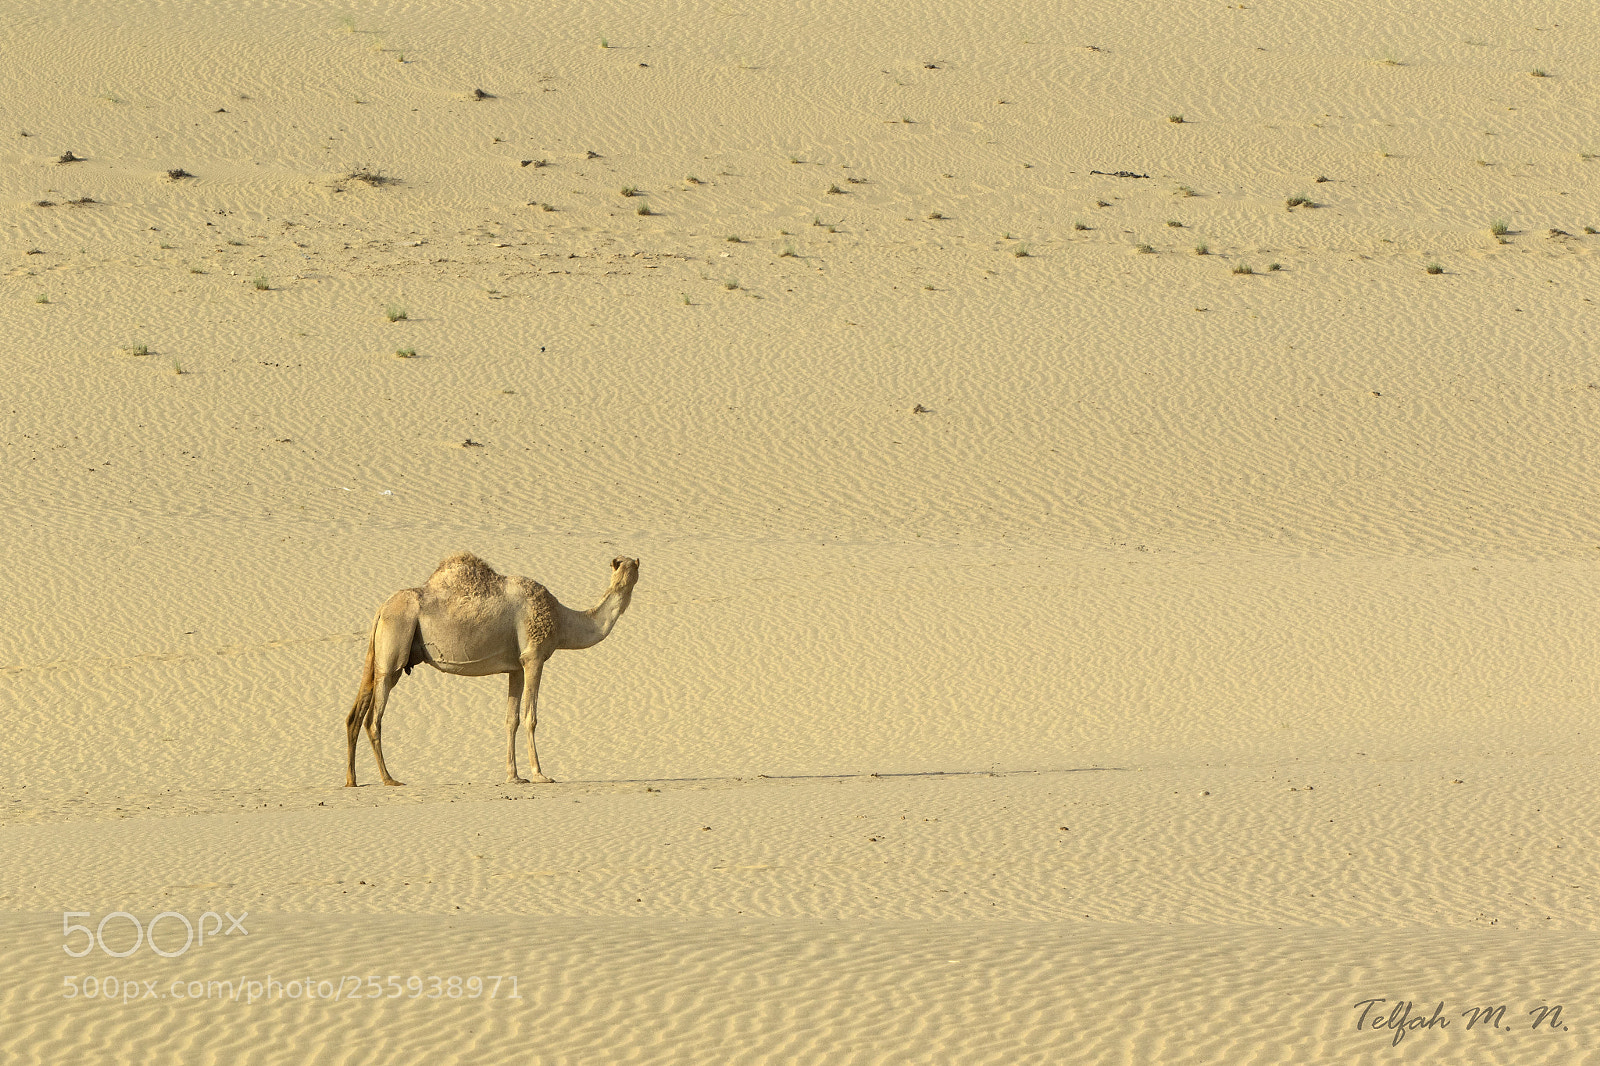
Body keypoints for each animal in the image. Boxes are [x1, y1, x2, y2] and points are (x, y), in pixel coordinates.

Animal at [345, 552, 639, 786]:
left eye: (632, 567)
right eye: (622, 565)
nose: (630, 567)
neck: (562, 620)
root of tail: (382, 608)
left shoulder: (516, 667)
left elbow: (511, 720)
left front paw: (514, 776)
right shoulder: (534, 657)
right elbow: (530, 716)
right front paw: (540, 775)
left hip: (380, 654)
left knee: (355, 713)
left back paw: (352, 780)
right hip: (395, 644)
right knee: (374, 717)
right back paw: (389, 779)